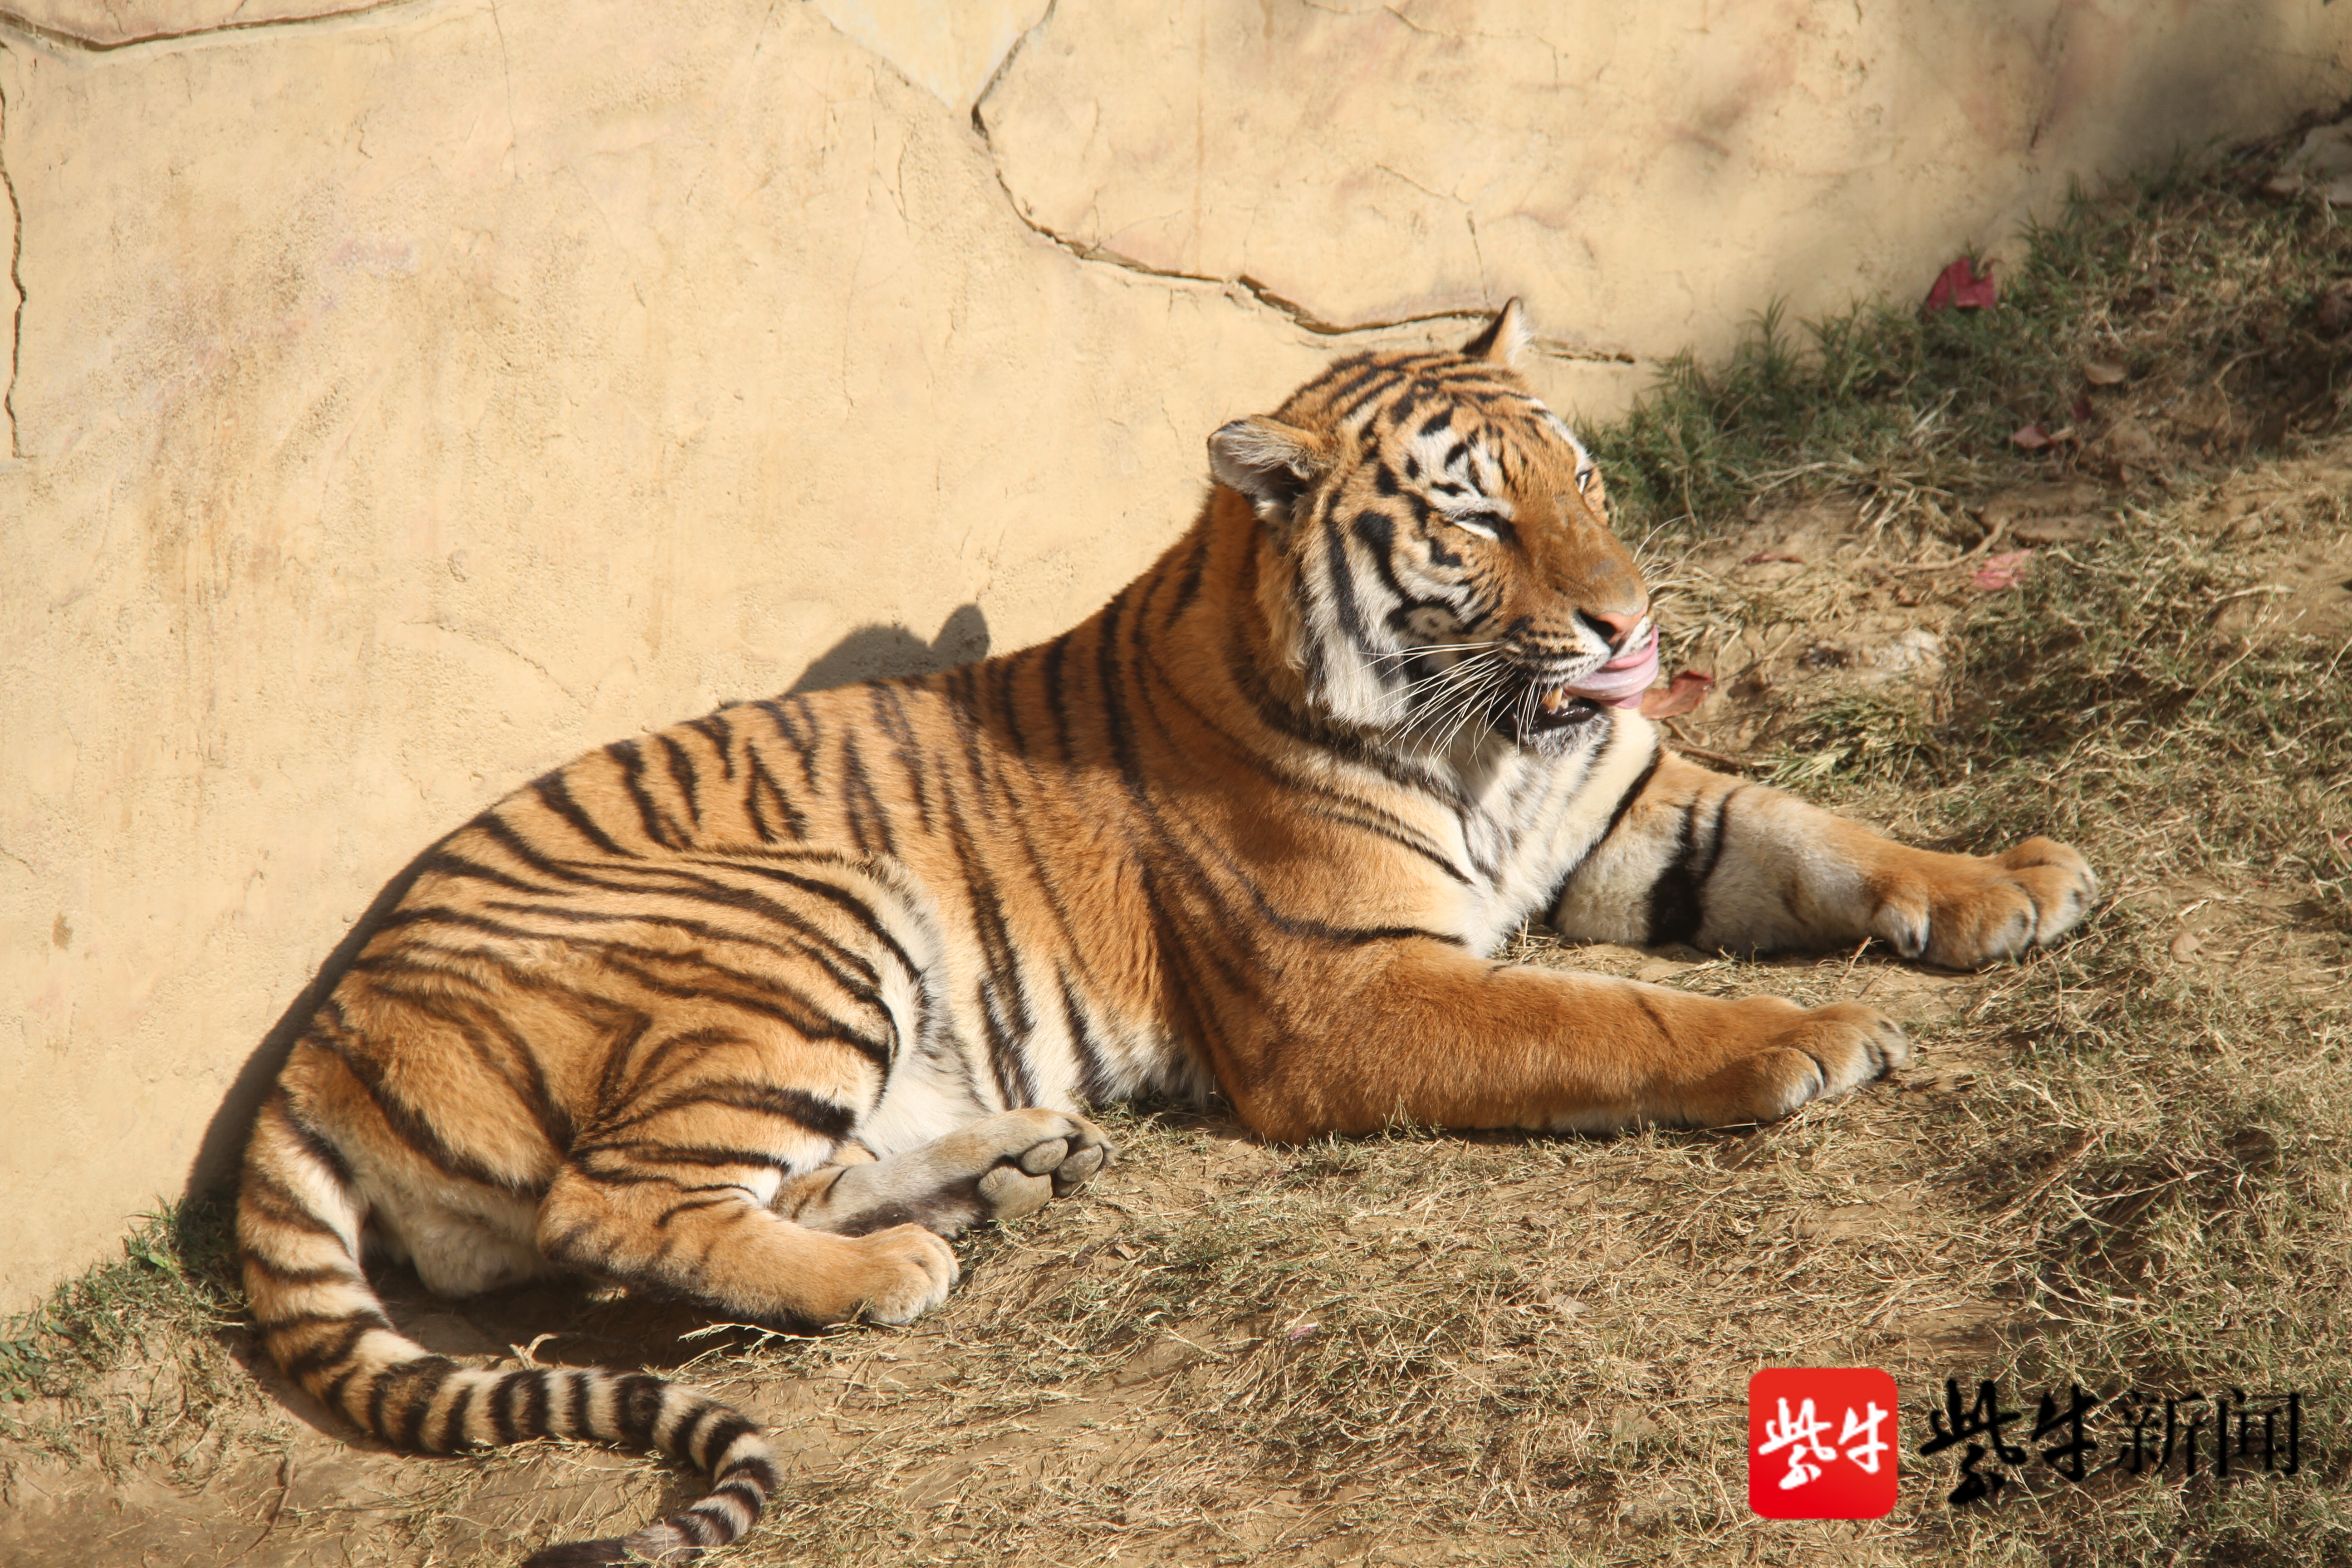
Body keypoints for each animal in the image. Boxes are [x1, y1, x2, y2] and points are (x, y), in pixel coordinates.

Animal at [234, 301, 2098, 1561]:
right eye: (1479, 518)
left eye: (1580, 476)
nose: (1630, 625)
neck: (1486, 740)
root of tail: (313, 1037)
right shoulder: (1353, 994)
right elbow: (1608, 1016)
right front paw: (1808, 1040)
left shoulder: (1624, 805)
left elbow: (1818, 833)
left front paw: (2015, 879)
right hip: (793, 919)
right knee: (621, 1203)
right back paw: (896, 1268)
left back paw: (1011, 1170)